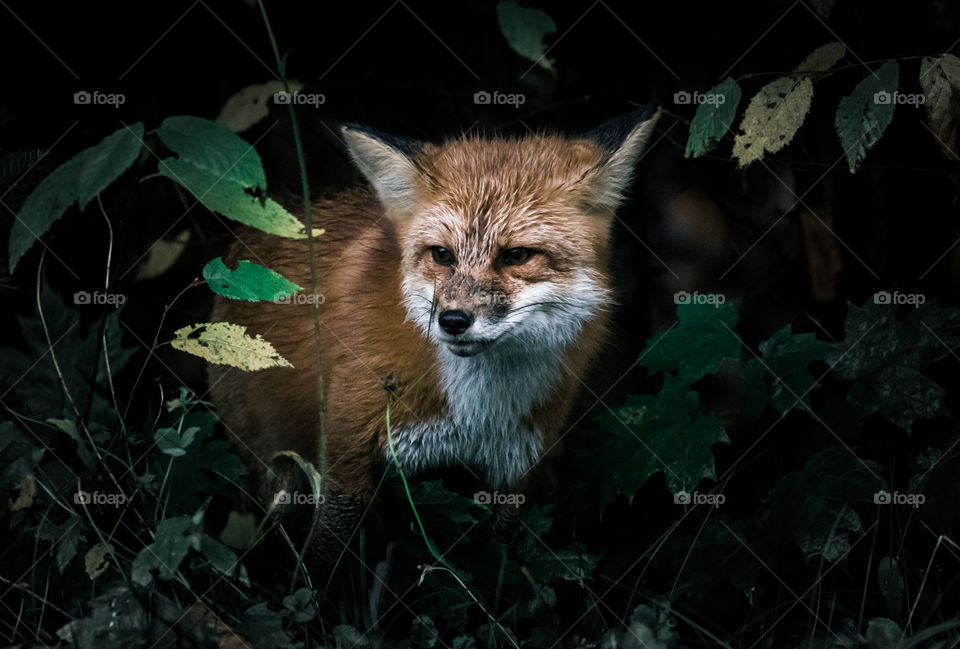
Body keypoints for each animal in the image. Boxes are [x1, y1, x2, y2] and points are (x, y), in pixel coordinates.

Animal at [207, 106, 660, 561]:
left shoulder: (512, 471)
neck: (476, 411)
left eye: (517, 256)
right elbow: (328, 551)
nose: (453, 320)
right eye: (442, 255)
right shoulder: (345, 458)